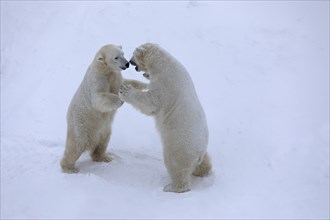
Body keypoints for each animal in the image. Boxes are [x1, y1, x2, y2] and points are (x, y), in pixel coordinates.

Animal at [61, 43, 148, 173]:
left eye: (122, 54)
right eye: (116, 57)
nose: (127, 63)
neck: (105, 69)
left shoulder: (115, 77)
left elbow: (126, 83)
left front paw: (145, 85)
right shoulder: (97, 79)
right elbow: (98, 99)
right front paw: (119, 100)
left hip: (103, 130)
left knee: (102, 142)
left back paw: (104, 157)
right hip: (81, 126)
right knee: (76, 146)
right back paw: (69, 168)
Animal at [120, 43, 213, 192]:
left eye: (134, 53)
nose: (130, 61)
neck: (162, 62)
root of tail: (198, 153)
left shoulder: (165, 82)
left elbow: (151, 102)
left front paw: (125, 90)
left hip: (178, 146)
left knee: (176, 166)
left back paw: (172, 187)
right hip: (200, 151)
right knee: (205, 163)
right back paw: (203, 171)